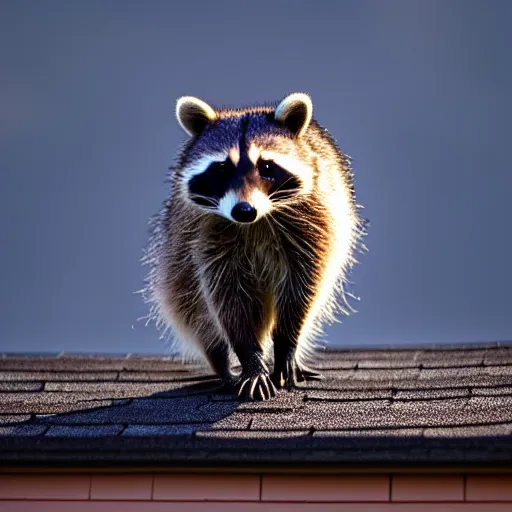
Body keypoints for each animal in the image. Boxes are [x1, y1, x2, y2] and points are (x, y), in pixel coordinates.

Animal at [142, 94, 366, 402]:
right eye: (222, 168)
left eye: (267, 167)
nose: (244, 210)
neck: (256, 222)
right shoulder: (204, 235)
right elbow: (227, 298)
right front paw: (250, 358)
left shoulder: (316, 220)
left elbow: (304, 286)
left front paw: (286, 344)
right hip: (178, 264)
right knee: (197, 313)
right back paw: (222, 364)